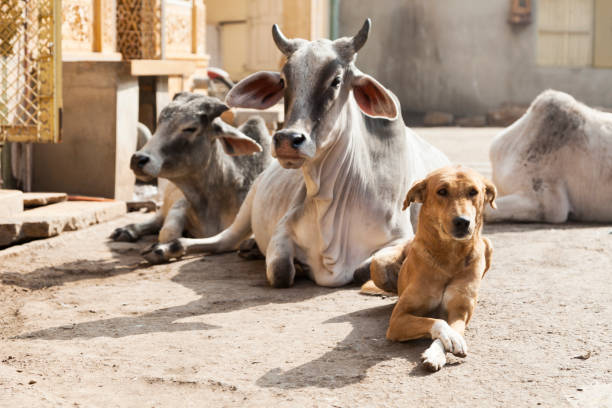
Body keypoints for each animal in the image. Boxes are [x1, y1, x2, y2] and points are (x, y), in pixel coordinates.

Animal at [110, 92, 272, 250]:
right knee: (156, 219)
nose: (137, 159)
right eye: (159, 124)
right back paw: (127, 230)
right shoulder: (180, 203)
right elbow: (167, 233)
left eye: (190, 128)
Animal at [143, 19, 450, 286]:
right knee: (222, 241)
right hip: (247, 207)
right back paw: (166, 249)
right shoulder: (283, 228)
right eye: (282, 81)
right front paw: (299, 266)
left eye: (336, 80)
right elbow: (281, 270)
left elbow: (367, 269)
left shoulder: (401, 237)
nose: (287, 139)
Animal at [364, 167, 498, 372]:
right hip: (378, 263)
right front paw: (446, 339)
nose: (462, 221)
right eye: (442, 191)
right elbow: (436, 321)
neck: (449, 257)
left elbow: (453, 328)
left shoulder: (460, 312)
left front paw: (438, 352)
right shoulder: (397, 319)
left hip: (488, 244)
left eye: (473, 192)